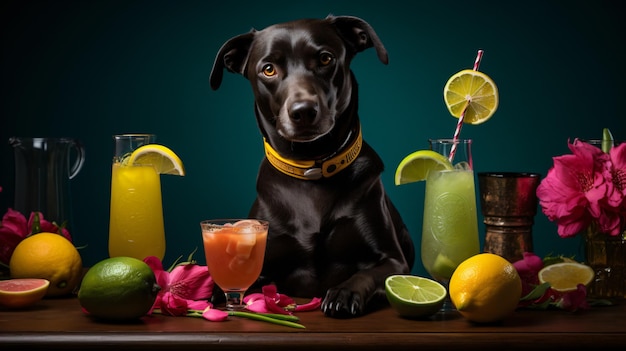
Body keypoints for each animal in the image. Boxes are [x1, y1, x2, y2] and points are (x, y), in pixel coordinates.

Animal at [211, 15, 414, 320]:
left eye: (325, 58)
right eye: (268, 69)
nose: (303, 111)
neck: (311, 170)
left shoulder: (393, 261)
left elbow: (365, 274)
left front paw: (343, 293)